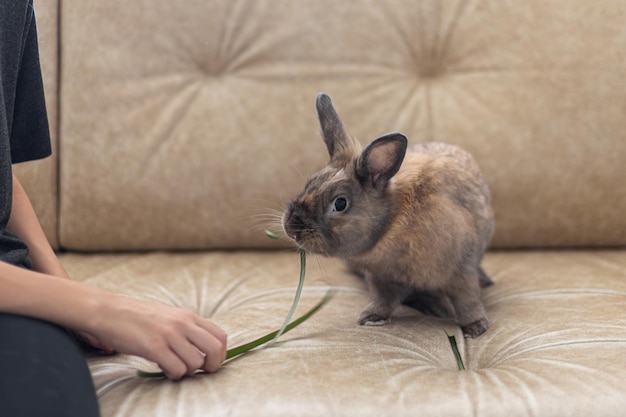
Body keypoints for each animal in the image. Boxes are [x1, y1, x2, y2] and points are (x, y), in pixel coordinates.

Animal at [282, 92, 492, 336]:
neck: (393, 223)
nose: (290, 228)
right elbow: (382, 300)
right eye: (309, 183)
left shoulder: (461, 270)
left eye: (340, 203)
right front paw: (371, 318)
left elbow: (467, 300)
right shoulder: (380, 278)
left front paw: (475, 328)